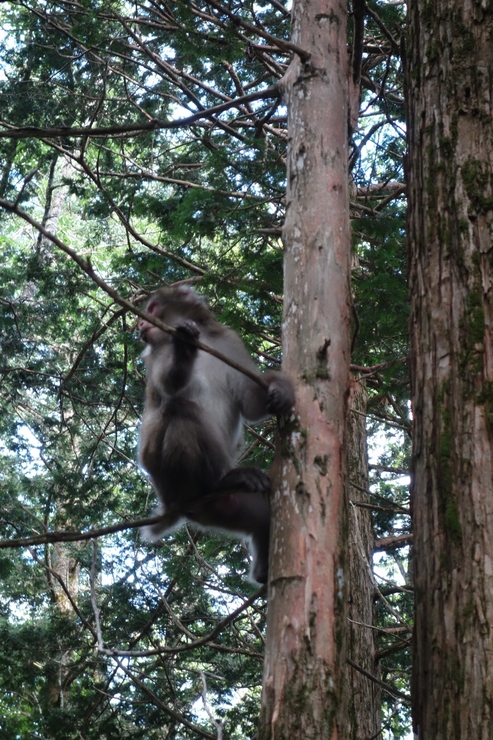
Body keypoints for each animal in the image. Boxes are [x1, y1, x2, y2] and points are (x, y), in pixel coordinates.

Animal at [136, 286, 294, 580]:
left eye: (151, 309)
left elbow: (250, 403)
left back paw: (262, 571)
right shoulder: (157, 349)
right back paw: (221, 481)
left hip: (227, 507)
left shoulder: (228, 339)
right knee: (178, 408)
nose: (139, 323)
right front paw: (184, 345)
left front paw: (279, 388)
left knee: (262, 513)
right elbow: (168, 386)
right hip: (165, 476)